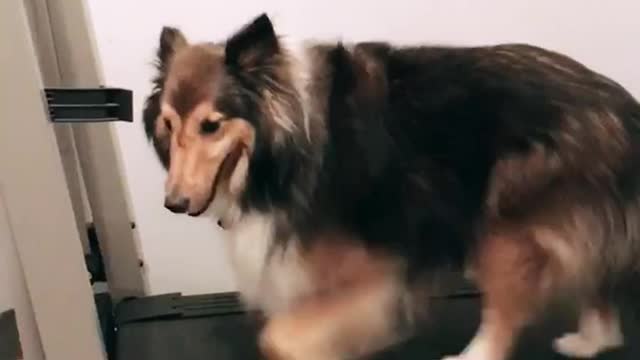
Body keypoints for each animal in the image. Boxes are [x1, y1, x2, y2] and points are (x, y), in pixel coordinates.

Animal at [144, 13, 640, 360]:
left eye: (211, 125)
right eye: (168, 124)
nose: (174, 203)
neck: (284, 147)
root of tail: (621, 106)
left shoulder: (375, 269)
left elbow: (279, 337)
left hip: (505, 228)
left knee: (507, 311)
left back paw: (475, 355)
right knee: (598, 287)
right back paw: (590, 342)